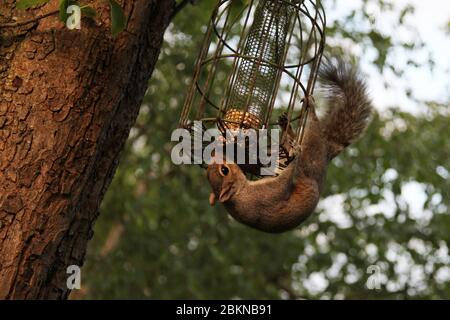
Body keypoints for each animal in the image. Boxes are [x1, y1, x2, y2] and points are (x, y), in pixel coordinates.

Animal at [207, 58, 372, 232]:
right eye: (224, 170)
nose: (215, 155)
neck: (239, 195)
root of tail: (326, 153)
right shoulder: (267, 193)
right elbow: (284, 182)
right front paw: (294, 157)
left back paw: (287, 130)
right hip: (312, 153)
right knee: (312, 129)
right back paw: (307, 113)